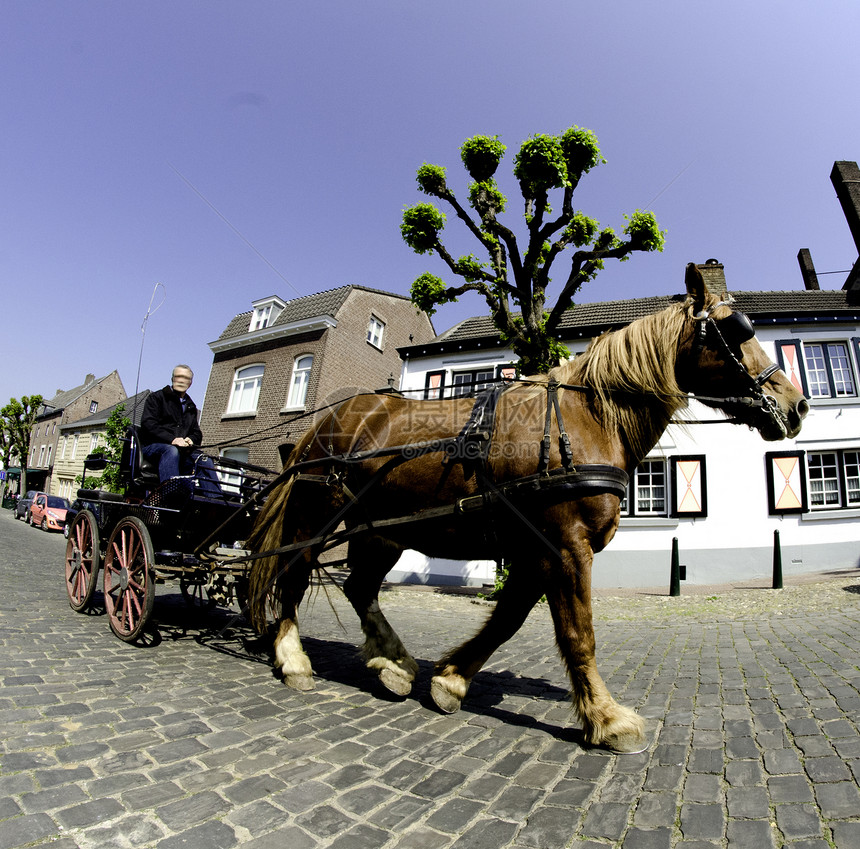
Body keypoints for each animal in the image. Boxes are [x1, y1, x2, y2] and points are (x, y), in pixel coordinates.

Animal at [247, 264, 808, 748]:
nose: (797, 403)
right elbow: (578, 633)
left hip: (381, 531)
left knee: (360, 587)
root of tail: (328, 419)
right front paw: (606, 718)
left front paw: (450, 681)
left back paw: (393, 664)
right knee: (292, 573)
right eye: (736, 330)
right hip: (318, 518)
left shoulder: (539, 550)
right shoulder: (565, 547)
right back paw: (294, 659)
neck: (586, 419)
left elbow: (509, 619)